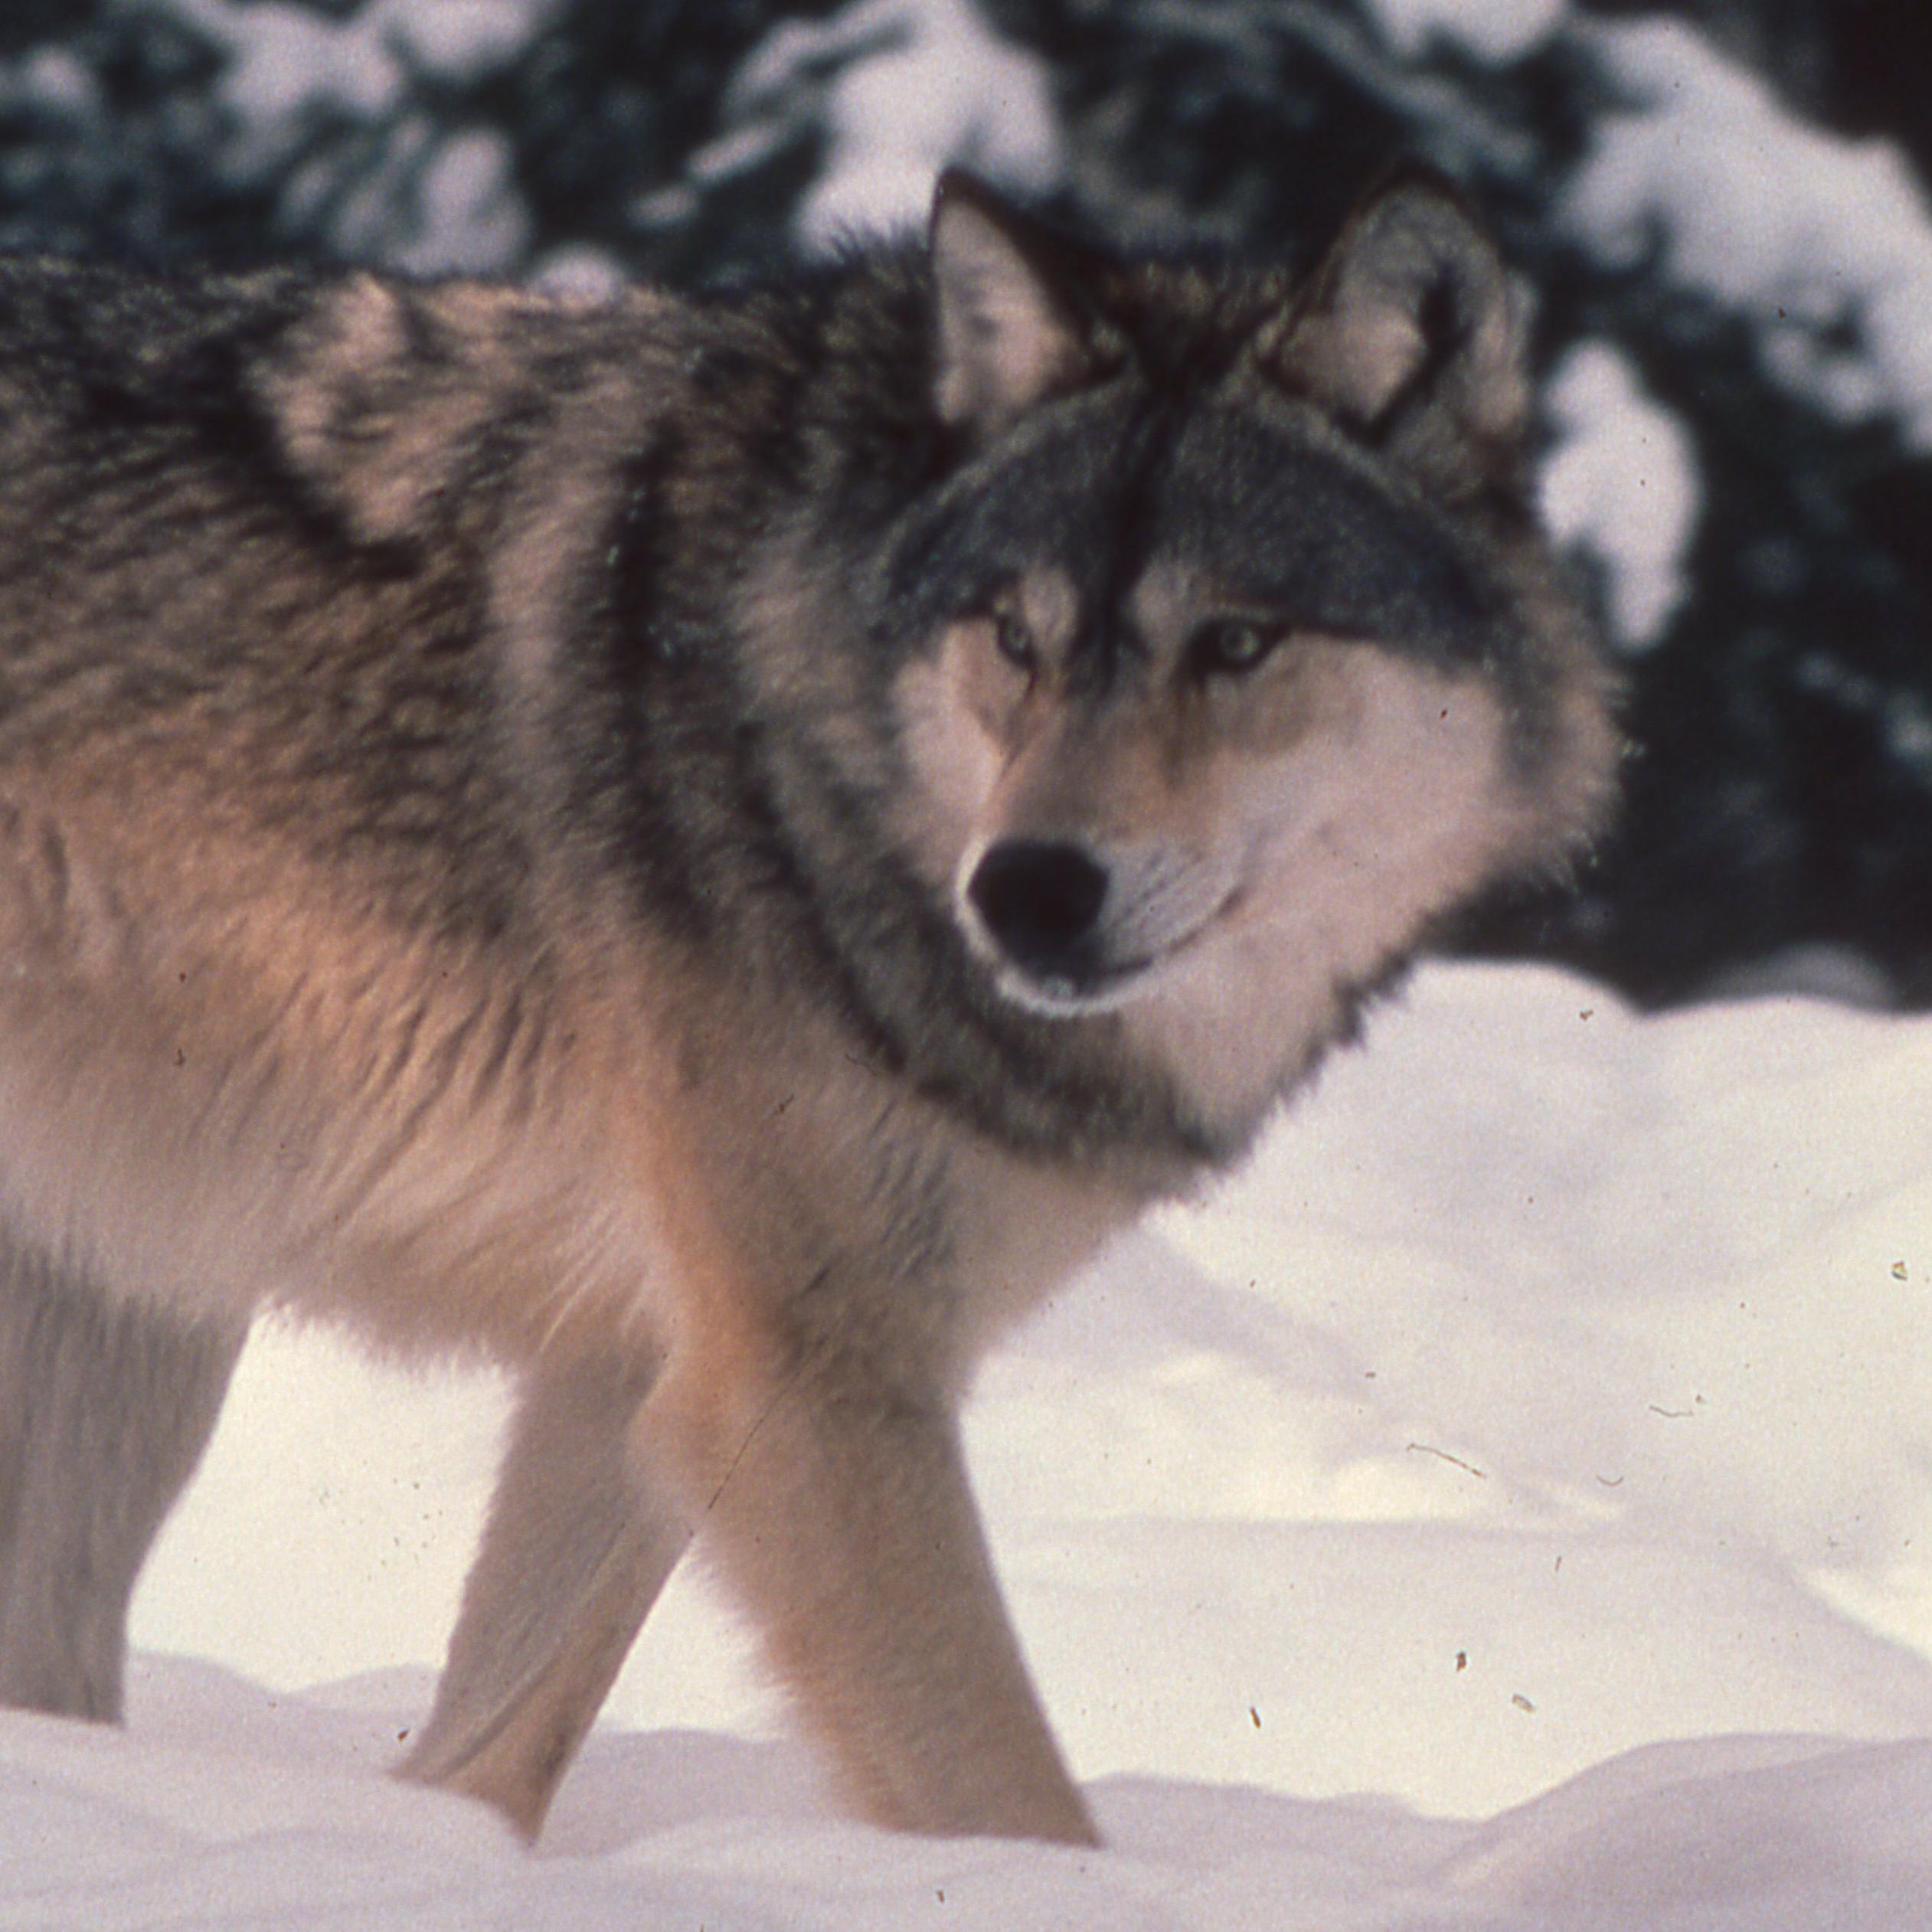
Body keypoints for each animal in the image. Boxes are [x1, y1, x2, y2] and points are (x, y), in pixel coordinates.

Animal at [0, 166, 1617, 1846]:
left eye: (1236, 641)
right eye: (1015, 635)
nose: (1027, 888)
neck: (796, 723)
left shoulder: (644, 1367)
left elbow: (491, 1751)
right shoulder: (812, 1388)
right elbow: (1004, 1792)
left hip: (137, 1290)